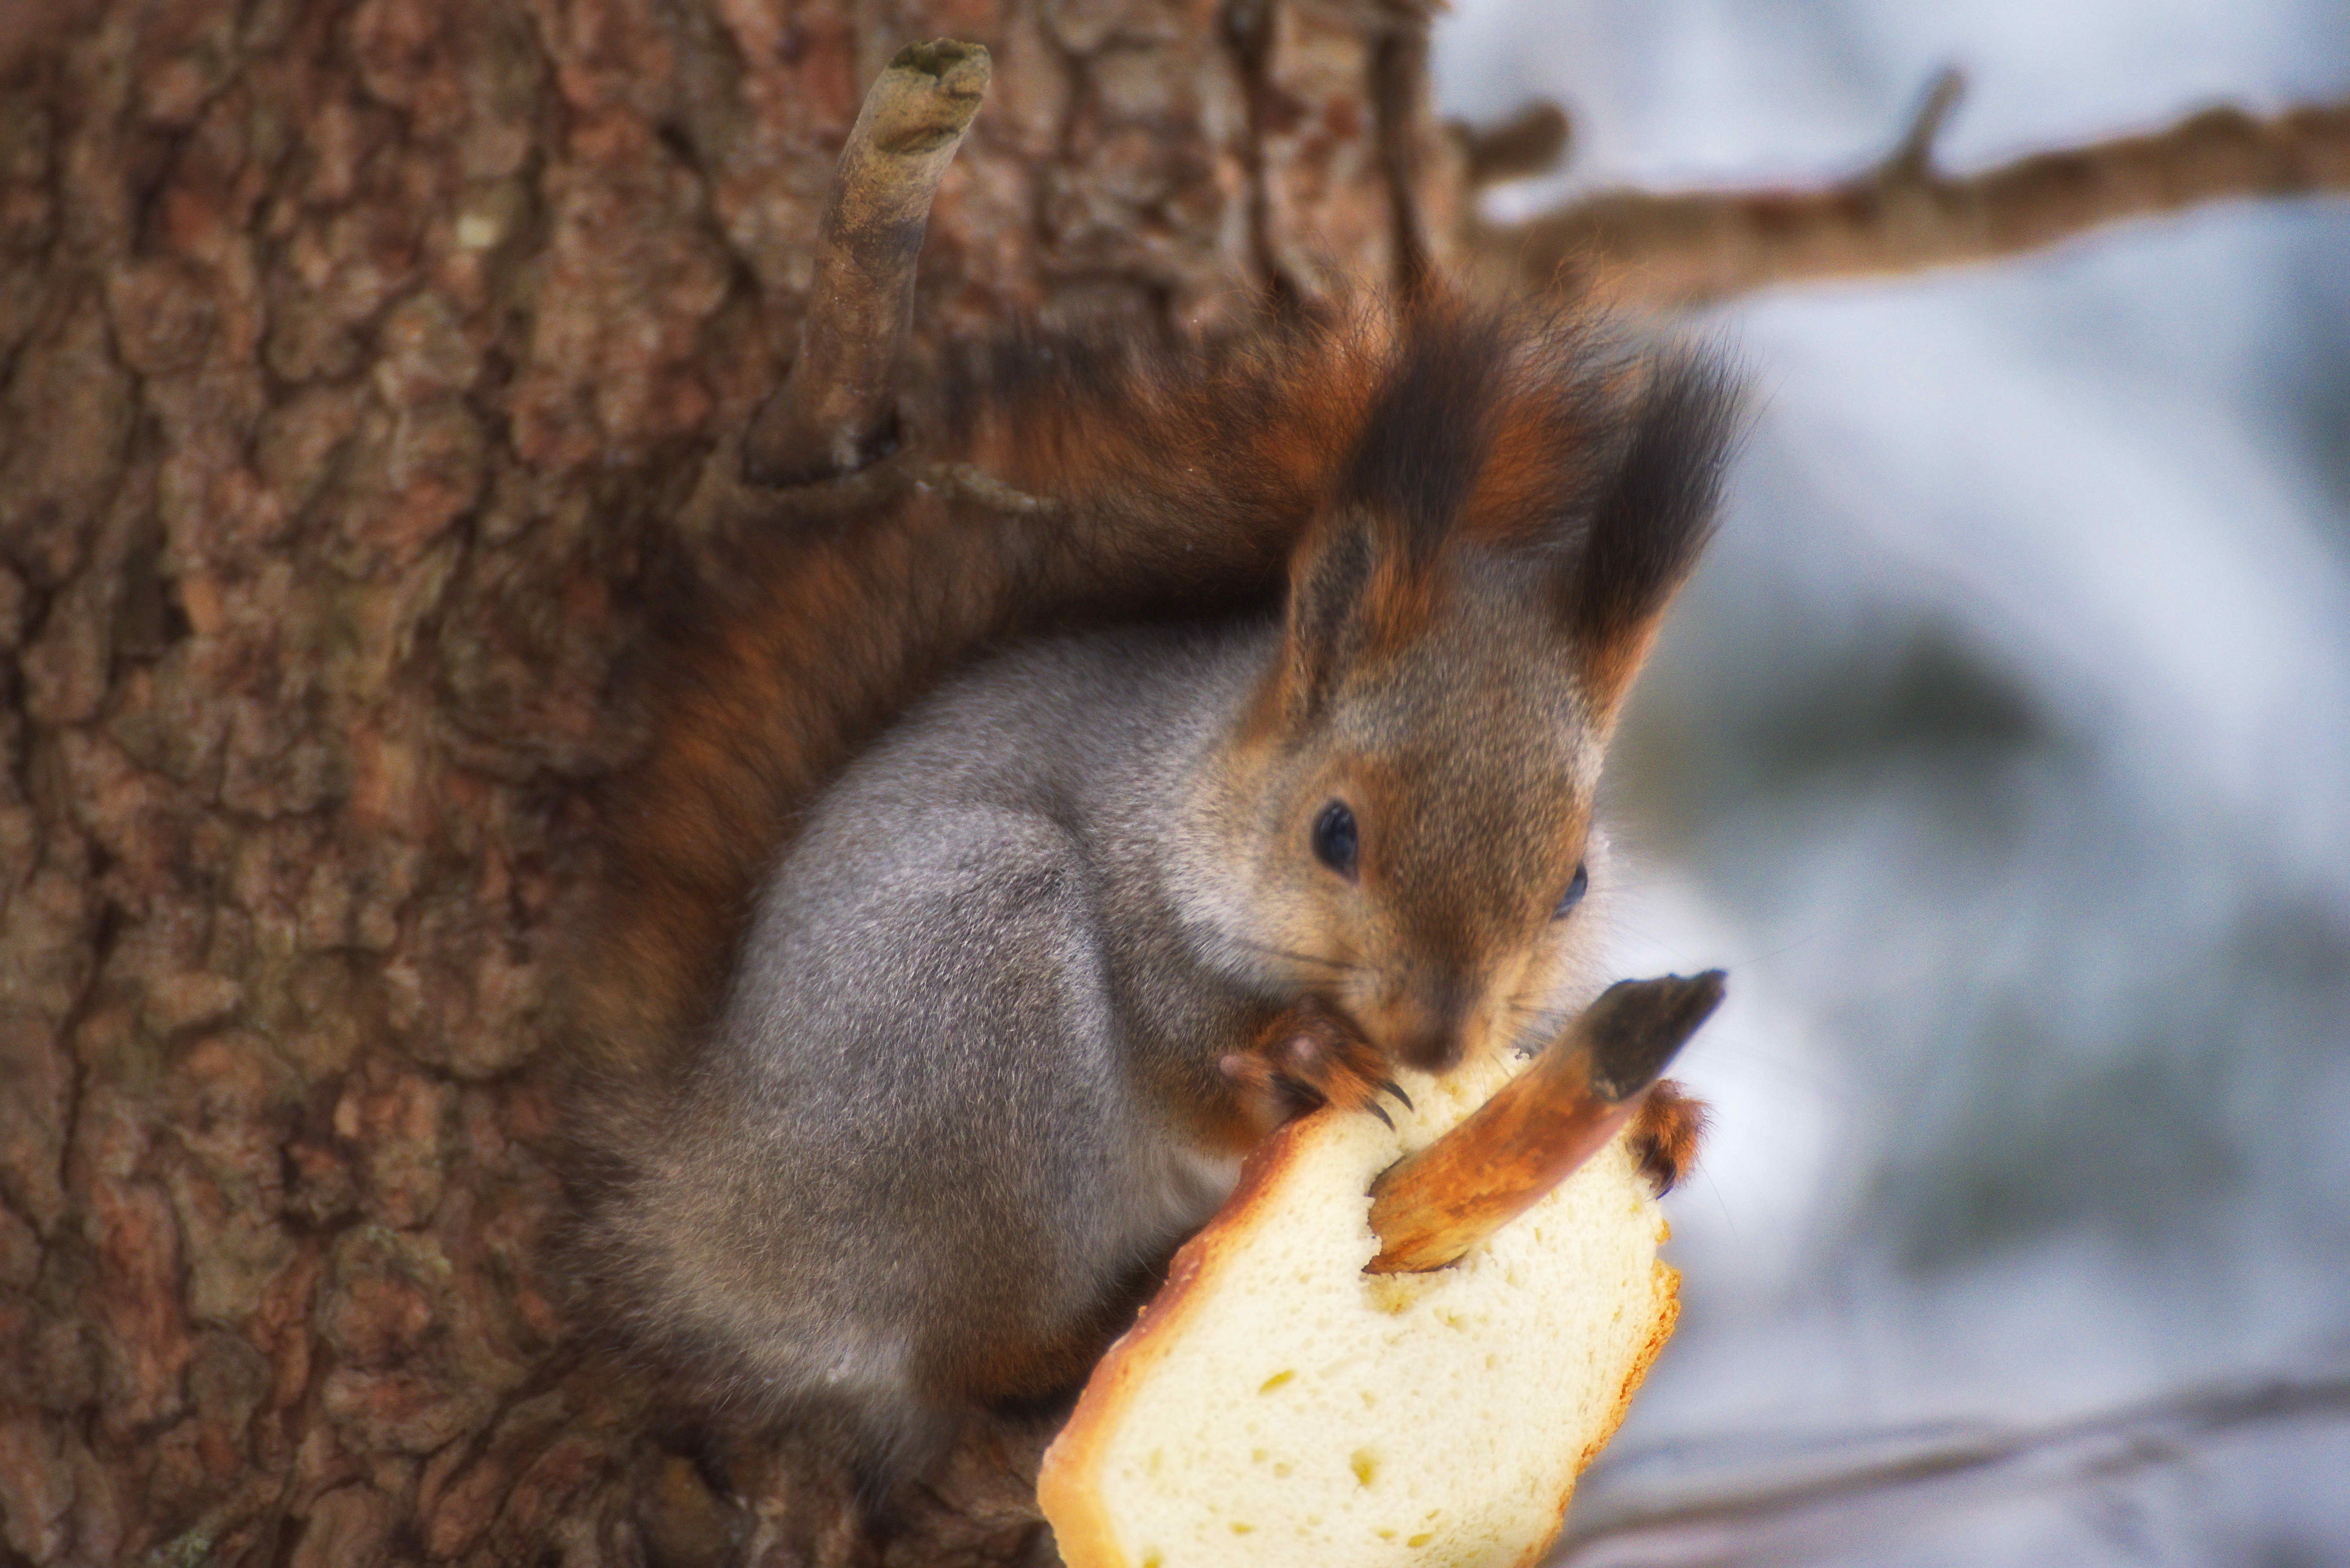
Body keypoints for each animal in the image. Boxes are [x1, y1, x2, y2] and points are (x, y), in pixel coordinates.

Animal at [559, 288, 1739, 1504]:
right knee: (964, 1353)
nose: (1440, 1040)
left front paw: (1656, 1112)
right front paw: (1302, 1061)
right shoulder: (1138, 922)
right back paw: (1078, 1333)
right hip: (967, 1003)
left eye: (1575, 881)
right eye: (1334, 832)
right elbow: (1188, 1076)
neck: (1191, 783)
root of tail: (709, 1204)